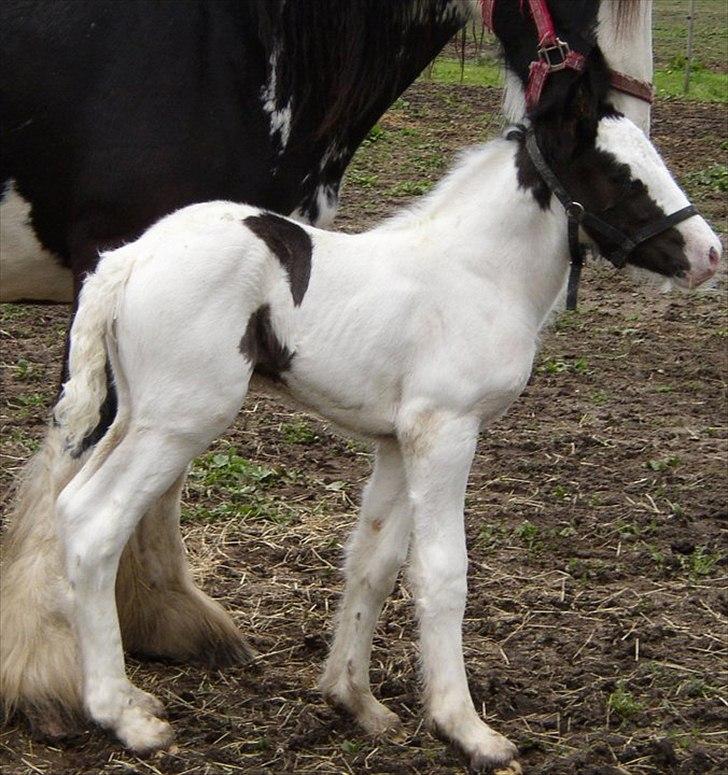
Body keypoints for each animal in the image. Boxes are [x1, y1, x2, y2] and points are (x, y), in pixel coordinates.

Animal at [1, 0, 656, 740]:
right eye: (588, 9)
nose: (622, 112)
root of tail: (132, 260)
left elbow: (363, 556)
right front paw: (46, 676)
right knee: (91, 513)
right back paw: (118, 710)